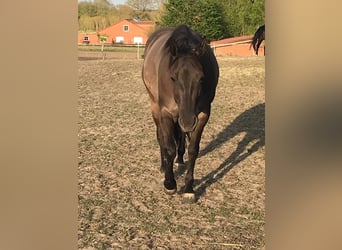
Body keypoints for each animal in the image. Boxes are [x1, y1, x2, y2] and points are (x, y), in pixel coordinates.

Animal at [142, 24, 219, 202]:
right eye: (173, 77)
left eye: (201, 78)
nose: (188, 121)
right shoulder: (165, 113)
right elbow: (169, 147)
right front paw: (170, 184)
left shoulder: (202, 115)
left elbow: (193, 150)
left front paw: (189, 188)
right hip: (155, 107)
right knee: (161, 137)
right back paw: (164, 165)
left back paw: (180, 158)